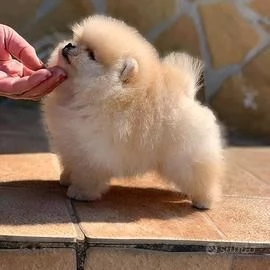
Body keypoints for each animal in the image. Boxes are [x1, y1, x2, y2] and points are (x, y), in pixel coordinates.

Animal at [43, 14, 225, 209]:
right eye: (77, 39)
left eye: (91, 55)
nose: (69, 45)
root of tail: (187, 95)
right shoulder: (70, 142)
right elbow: (70, 162)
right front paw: (66, 178)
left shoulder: (92, 151)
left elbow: (87, 174)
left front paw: (81, 192)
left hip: (187, 155)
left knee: (202, 177)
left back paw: (203, 201)